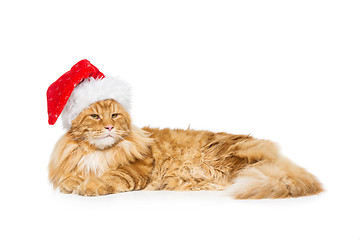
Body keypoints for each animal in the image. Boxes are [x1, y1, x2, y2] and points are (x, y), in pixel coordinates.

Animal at [48, 99, 324, 199]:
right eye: (95, 116)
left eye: (114, 115)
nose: (108, 127)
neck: (99, 151)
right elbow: (74, 176)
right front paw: (73, 183)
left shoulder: (137, 169)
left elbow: (109, 176)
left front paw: (89, 186)